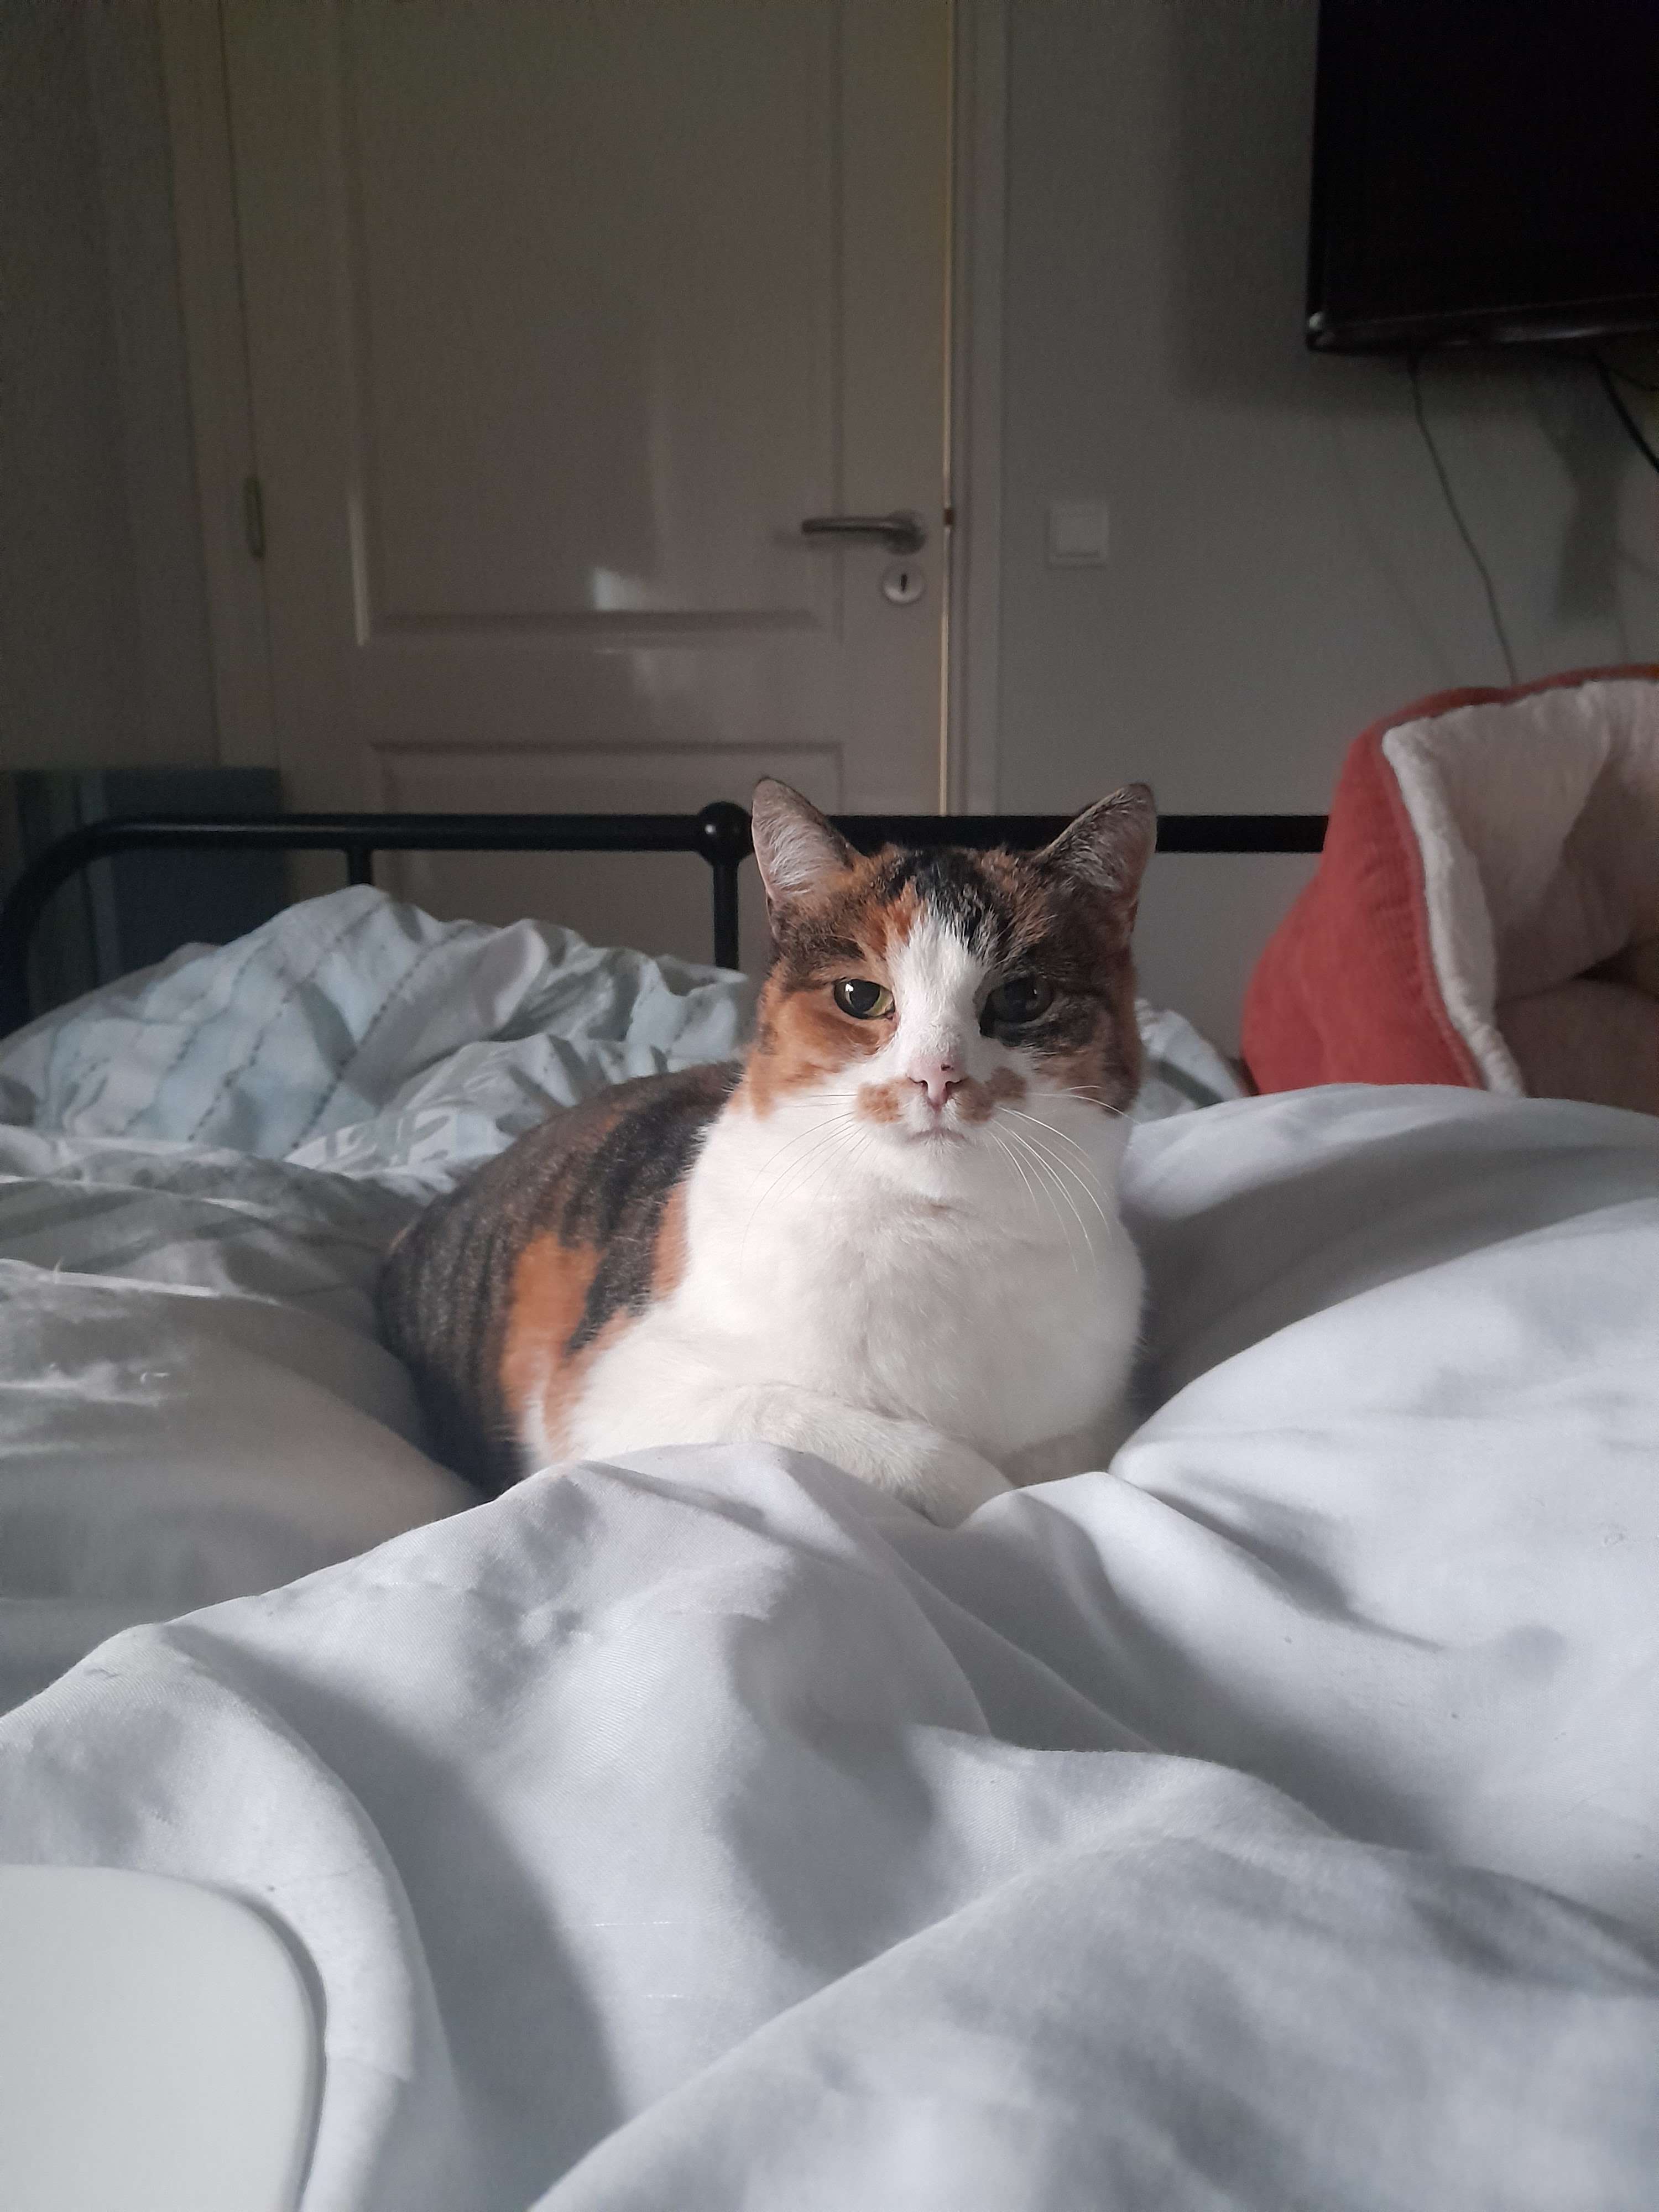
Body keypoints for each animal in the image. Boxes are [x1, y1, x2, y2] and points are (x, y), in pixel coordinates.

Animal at [378, 778, 1155, 1525]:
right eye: (860, 995)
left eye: (1023, 997)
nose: (936, 1075)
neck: (939, 1231)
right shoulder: (606, 1394)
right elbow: (914, 1457)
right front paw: (992, 1493)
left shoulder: (1096, 1414)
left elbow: (1062, 1463)